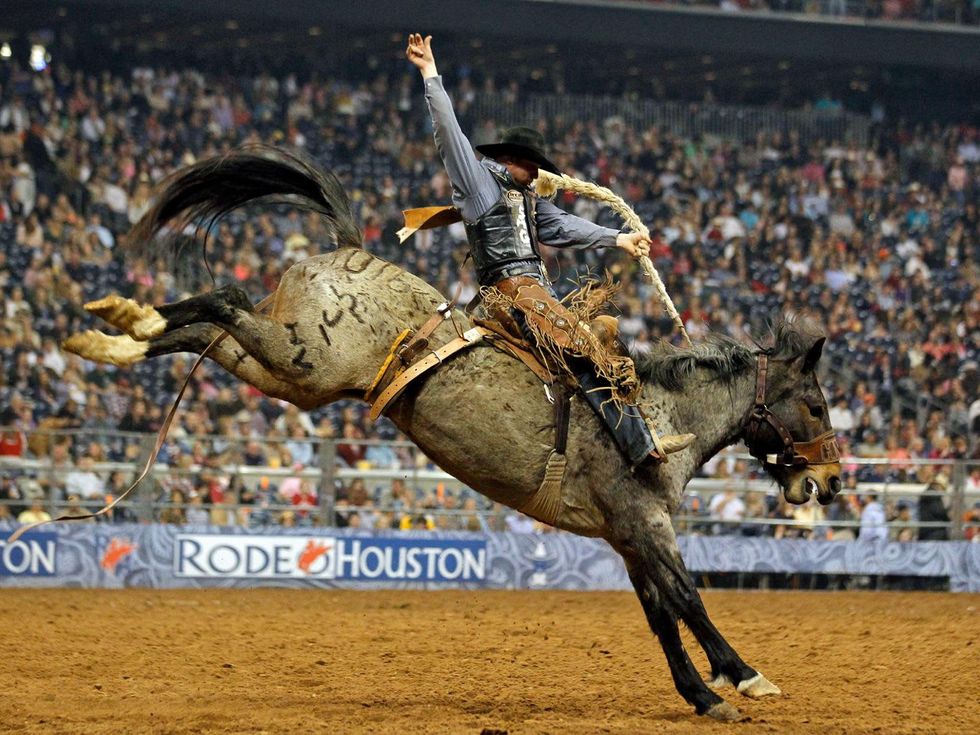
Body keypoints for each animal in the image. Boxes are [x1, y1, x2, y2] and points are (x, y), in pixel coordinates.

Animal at [64, 147, 842, 722]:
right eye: (816, 405)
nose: (831, 481)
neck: (655, 413)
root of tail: (348, 252)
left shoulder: (625, 535)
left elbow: (661, 614)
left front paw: (703, 694)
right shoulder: (643, 521)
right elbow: (687, 597)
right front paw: (744, 676)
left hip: (287, 368)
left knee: (205, 329)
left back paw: (111, 330)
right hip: (302, 360)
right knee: (221, 301)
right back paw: (124, 320)